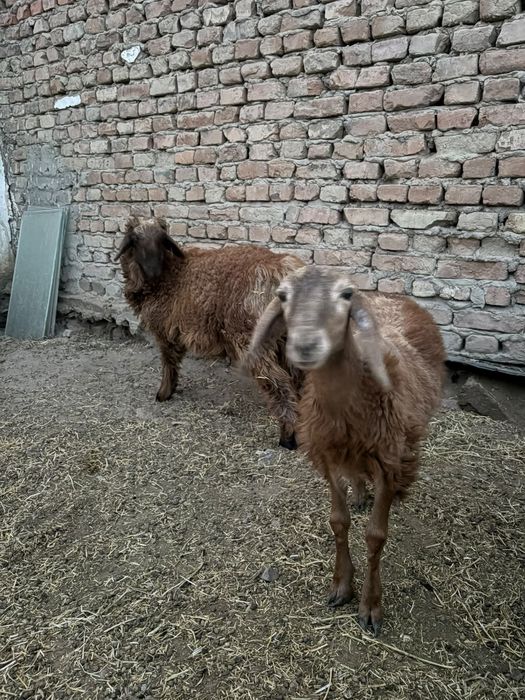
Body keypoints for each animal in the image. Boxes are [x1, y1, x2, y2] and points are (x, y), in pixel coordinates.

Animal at [115, 217, 305, 449]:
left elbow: (168, 361)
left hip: (252, 337)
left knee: (278, 382)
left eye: (162, 239)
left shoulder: (165, 330)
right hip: (287, 338)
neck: (171, 273)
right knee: (297, 377)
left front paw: (163, 393)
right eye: (135, 239)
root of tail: (283, 269)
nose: (153, 271)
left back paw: (287, 437)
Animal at [248, 265, 445, 634]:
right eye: (282, 295)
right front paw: (341, 584)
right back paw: (359, 493)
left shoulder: (388, 462)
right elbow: (338, 522)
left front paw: (370, 604)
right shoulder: (326, 456)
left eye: (346, 294)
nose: (306, 345)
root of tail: (394, 294)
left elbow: (376, 536)